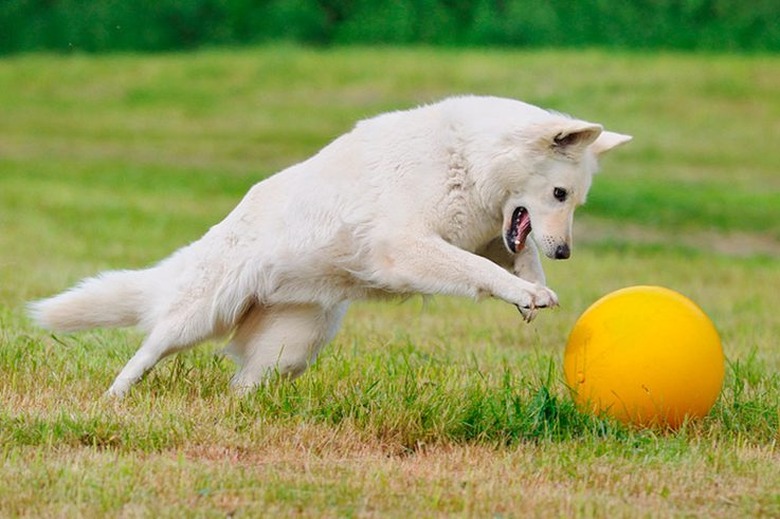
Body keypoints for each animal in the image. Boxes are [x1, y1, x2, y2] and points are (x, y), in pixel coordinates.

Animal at [27, 97, 632, 398]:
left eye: (575, 202)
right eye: (560, 194)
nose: (566, 254)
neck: (468, 158)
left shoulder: (492, 234)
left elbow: (515, 256)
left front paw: (533, 290)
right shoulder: (409, 246)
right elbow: (474, 268)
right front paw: (525, 292)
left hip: (293, 347)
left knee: (241, 384)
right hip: (199, 316)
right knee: (148, 349)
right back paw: (113, 400)